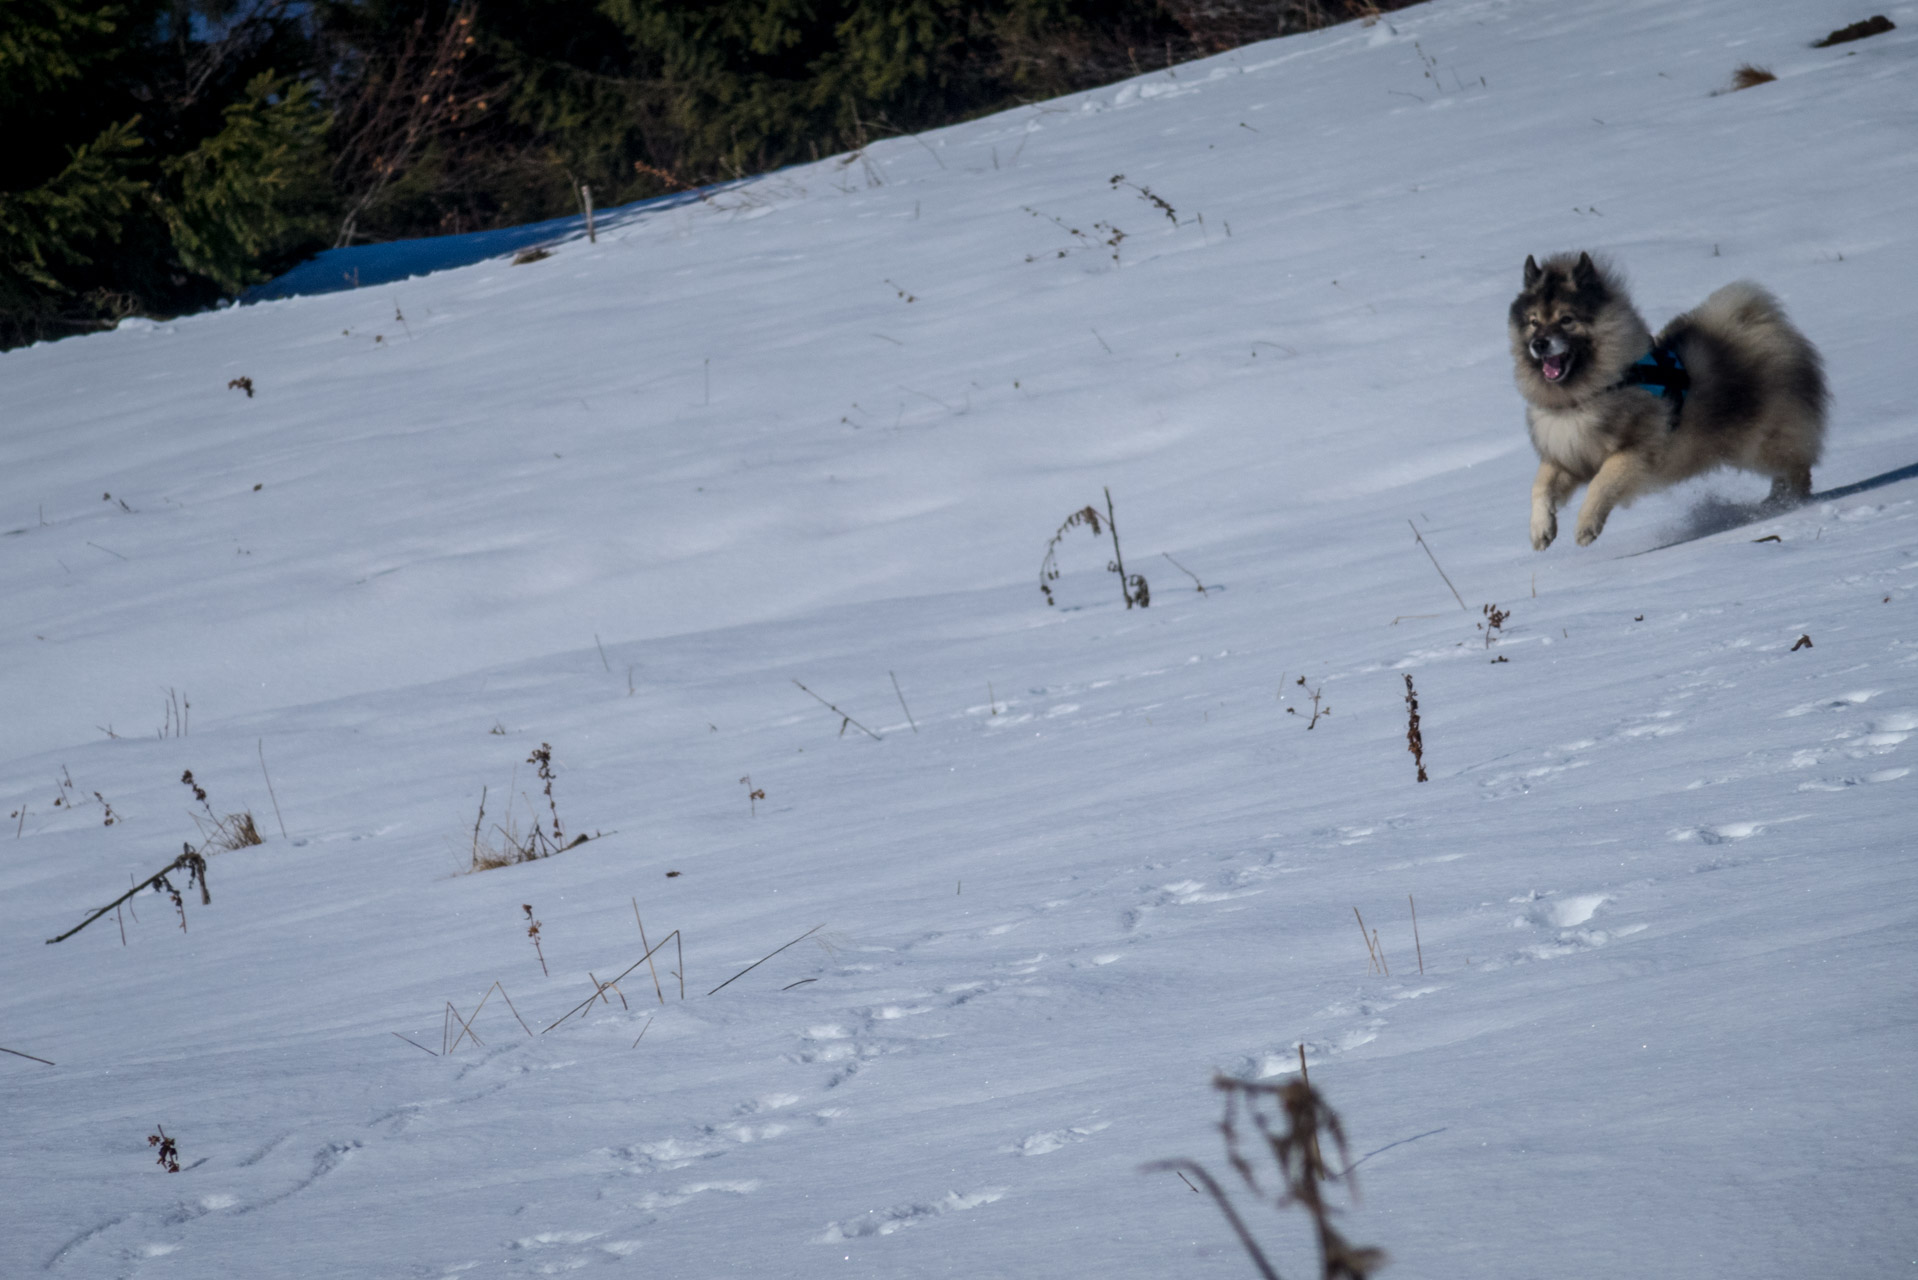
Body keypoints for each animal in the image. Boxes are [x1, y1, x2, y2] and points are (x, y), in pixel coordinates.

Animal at [1503, 253, 1818, 548]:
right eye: (1534, 322)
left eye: (1566, 319)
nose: (1539, 344)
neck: (1587, 394)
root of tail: (1758, 323)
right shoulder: (1567, 455)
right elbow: (1540, 487)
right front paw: (1541, 530)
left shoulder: (1635, 451)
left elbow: (1601, 483)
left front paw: (1586, 526)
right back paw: (1775, 501)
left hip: (1760, 442)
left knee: (1797, 466)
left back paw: (1792, 502)